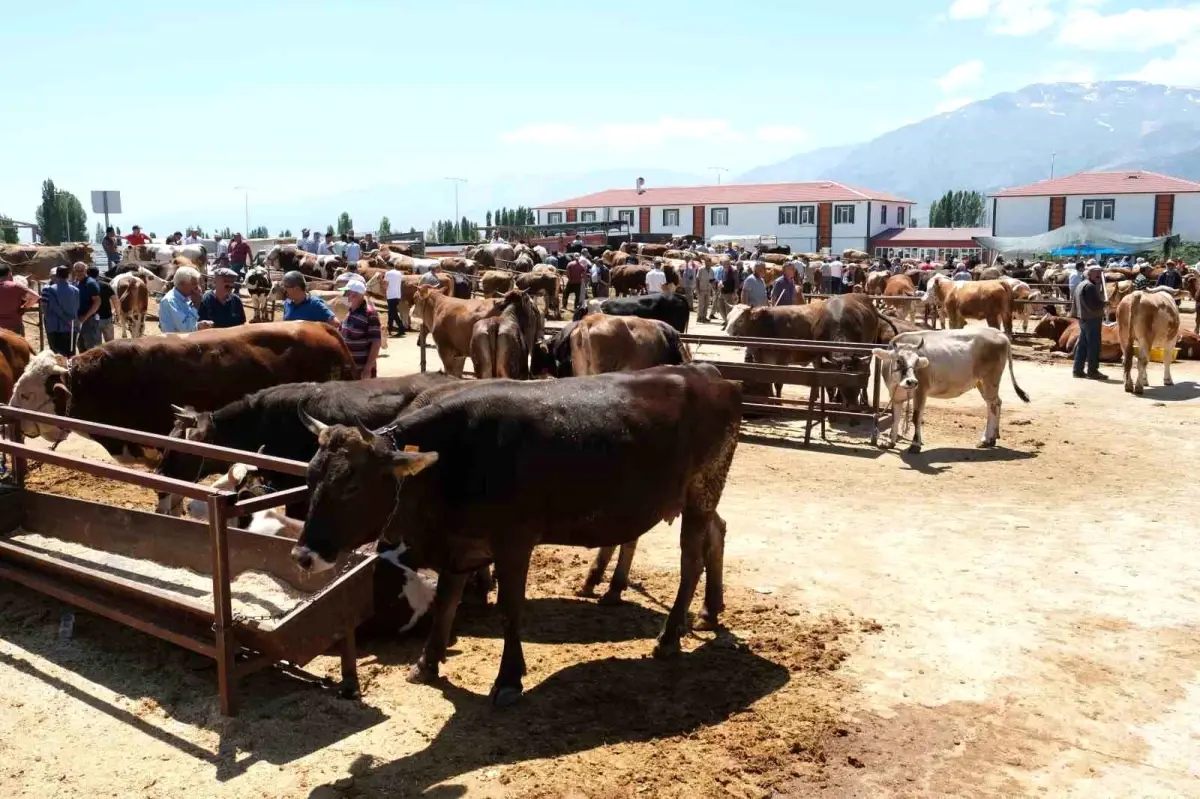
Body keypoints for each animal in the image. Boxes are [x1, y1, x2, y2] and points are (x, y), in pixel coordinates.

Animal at [290, 362, 739, 705]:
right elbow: (447, 601)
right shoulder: (460, 544)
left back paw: (669, 636)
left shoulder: (514, 543)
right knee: (717, 532)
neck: (454, 459)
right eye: (310, 475)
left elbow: (510, 609)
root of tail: (709, 374)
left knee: (691, 560)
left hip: (701, 491)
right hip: (699, 497)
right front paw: (427, 662)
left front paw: (508, 679)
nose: (303, 556)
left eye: (351, 484)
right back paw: (709, 609)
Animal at [873, 326, 1032, 451]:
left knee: (993, 405)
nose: (911, 381)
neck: (898, 383)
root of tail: (999, 333)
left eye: (917, 361)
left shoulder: (921, 390)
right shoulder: (895, 395)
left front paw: (915, 445)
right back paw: (992, 437)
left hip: (990, 380)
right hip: (981, 382)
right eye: (898, 360)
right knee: (995, 403)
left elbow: (916, 416)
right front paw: (891, 442)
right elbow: (895, 417)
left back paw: (986, 439)